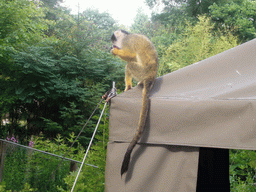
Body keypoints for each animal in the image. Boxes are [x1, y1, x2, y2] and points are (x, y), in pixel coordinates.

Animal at [110, 29, 158, 176]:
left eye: (113, 40)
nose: (113, 45)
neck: (126, 35)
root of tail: (150, 77)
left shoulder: (127, 42)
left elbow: (131, 55)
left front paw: (116, 51)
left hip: (142, 72)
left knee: (130, 64)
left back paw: (128, 86)